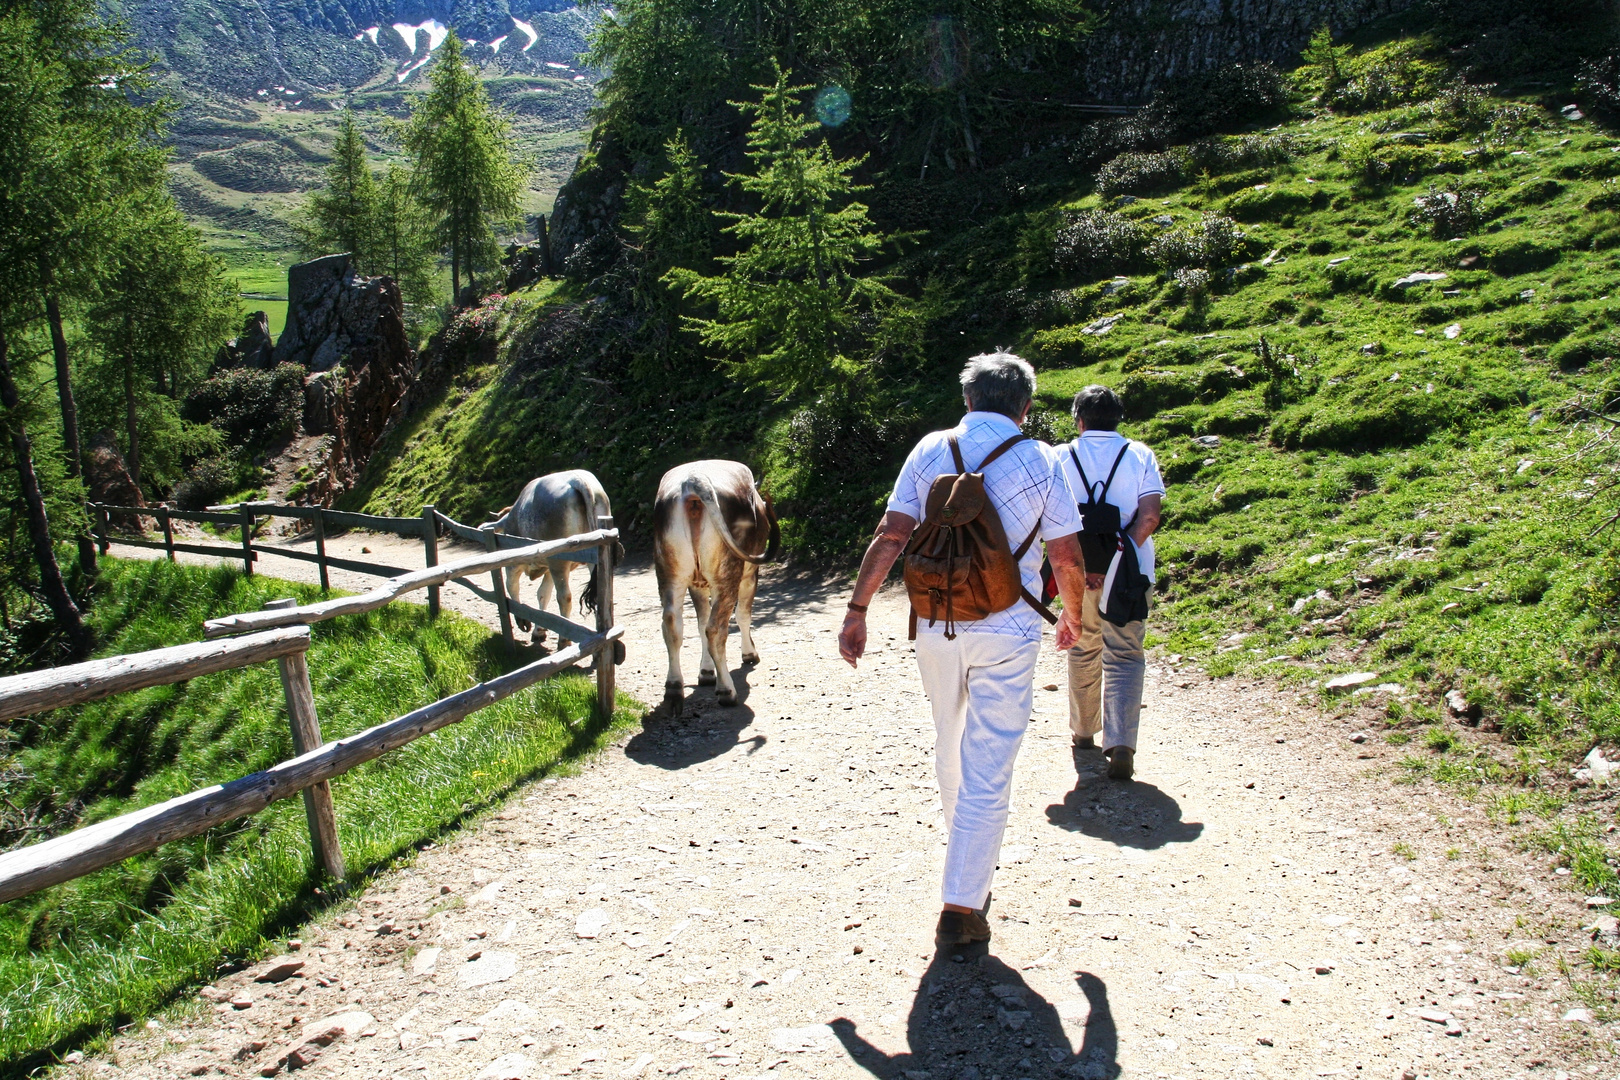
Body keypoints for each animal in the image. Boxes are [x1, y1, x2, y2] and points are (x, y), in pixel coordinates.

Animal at [492, 469, 612, 637]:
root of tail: (577, 479)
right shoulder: (548, 569)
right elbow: (543, 594)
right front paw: (539, 629)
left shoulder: (515, 564)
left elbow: (512, 586)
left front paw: (522, 621)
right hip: (590, 560)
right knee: (600, 595)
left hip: (558, 562)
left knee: (564, 597)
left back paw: (564, 639)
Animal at [657, 459, 784, 705]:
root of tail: (693, 480)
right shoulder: (749, 576)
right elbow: (743, 615)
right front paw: (749, 654)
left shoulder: (696, 586)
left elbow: (700, 622)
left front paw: (706, 672)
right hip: (727, 576)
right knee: (717, 629)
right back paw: (727, 690)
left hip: (670, 575)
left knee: (672, 624)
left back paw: (674, 687)